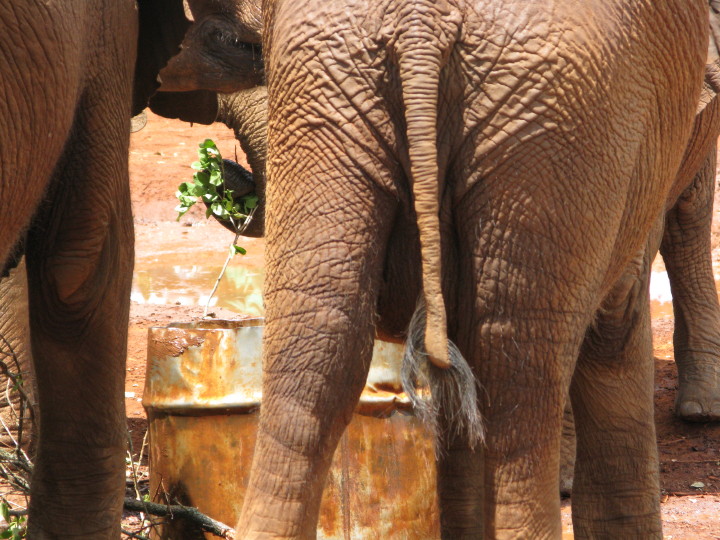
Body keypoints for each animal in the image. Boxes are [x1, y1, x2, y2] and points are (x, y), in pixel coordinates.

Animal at [231, 0, 710, 538]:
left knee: (314, 352)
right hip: (559, 118)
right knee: (516, 378)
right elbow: (615, 326)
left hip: (323, 94)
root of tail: (419, 22)